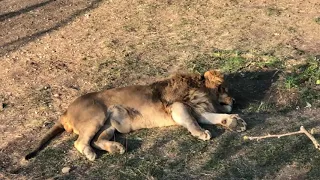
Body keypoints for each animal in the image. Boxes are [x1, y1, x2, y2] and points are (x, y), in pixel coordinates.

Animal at [26, 69, 248, 161]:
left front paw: (233, 122)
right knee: (80, 143)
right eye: (224, 88)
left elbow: (212, 117)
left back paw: (115, 148)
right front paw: (201, 133)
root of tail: (65, 111)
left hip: (109, 125)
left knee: (97, 140)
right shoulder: (177, 108)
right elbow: (192, 121)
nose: (235, 101)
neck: (200, 91)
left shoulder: (197, 109)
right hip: (95, 117)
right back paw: (91, 154)